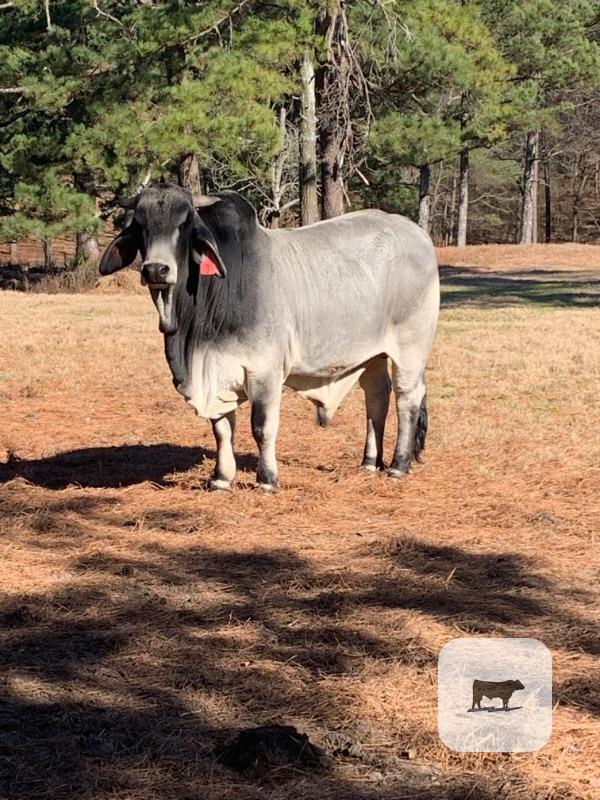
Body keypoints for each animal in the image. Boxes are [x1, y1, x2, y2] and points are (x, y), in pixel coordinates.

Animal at [99, 183, 439, 491]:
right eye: (140, 224)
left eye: (185, 224)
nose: (156, 269)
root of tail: (418, 233)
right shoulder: (217, 373)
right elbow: (222, 429)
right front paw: (221, 478)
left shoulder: (265, 371)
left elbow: (262, 427)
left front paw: (266, 479)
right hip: (373, 354)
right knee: (377, 397)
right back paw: (370, 462)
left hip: (410, 349)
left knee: (407, 399)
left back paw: (397, 465)